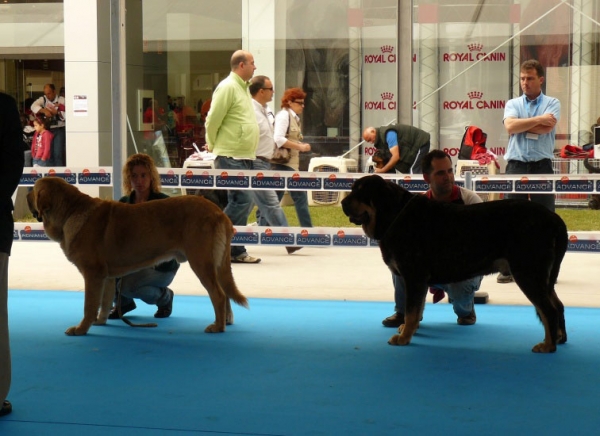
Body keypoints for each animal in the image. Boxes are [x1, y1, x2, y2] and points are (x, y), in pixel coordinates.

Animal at [27, 175, 247, 336]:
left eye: (34, 189)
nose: (27, 191)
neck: (70, 212)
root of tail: (219, 212)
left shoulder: (92, 275)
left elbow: (89, 305)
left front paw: (81, 329)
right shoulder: (107, 277)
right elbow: (104, 302)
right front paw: (100, 321)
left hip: (201, 262)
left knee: (218, 294)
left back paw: (217, 327)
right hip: (215, 264)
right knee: (224, 292)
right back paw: (225, 320)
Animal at [342, 175, 568, 352]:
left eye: (361, 193)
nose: (343, 203)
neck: (394, 214)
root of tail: (554, 219)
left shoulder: (414, 276)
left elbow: (412, 310)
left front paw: (404, 337)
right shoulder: (416, 280)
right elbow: (416, 310)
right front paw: (408, 329)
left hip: (528, 273)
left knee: (548, 310)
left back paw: (548, 346)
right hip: (542, 277)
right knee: (558, 306)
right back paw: (558, 338)